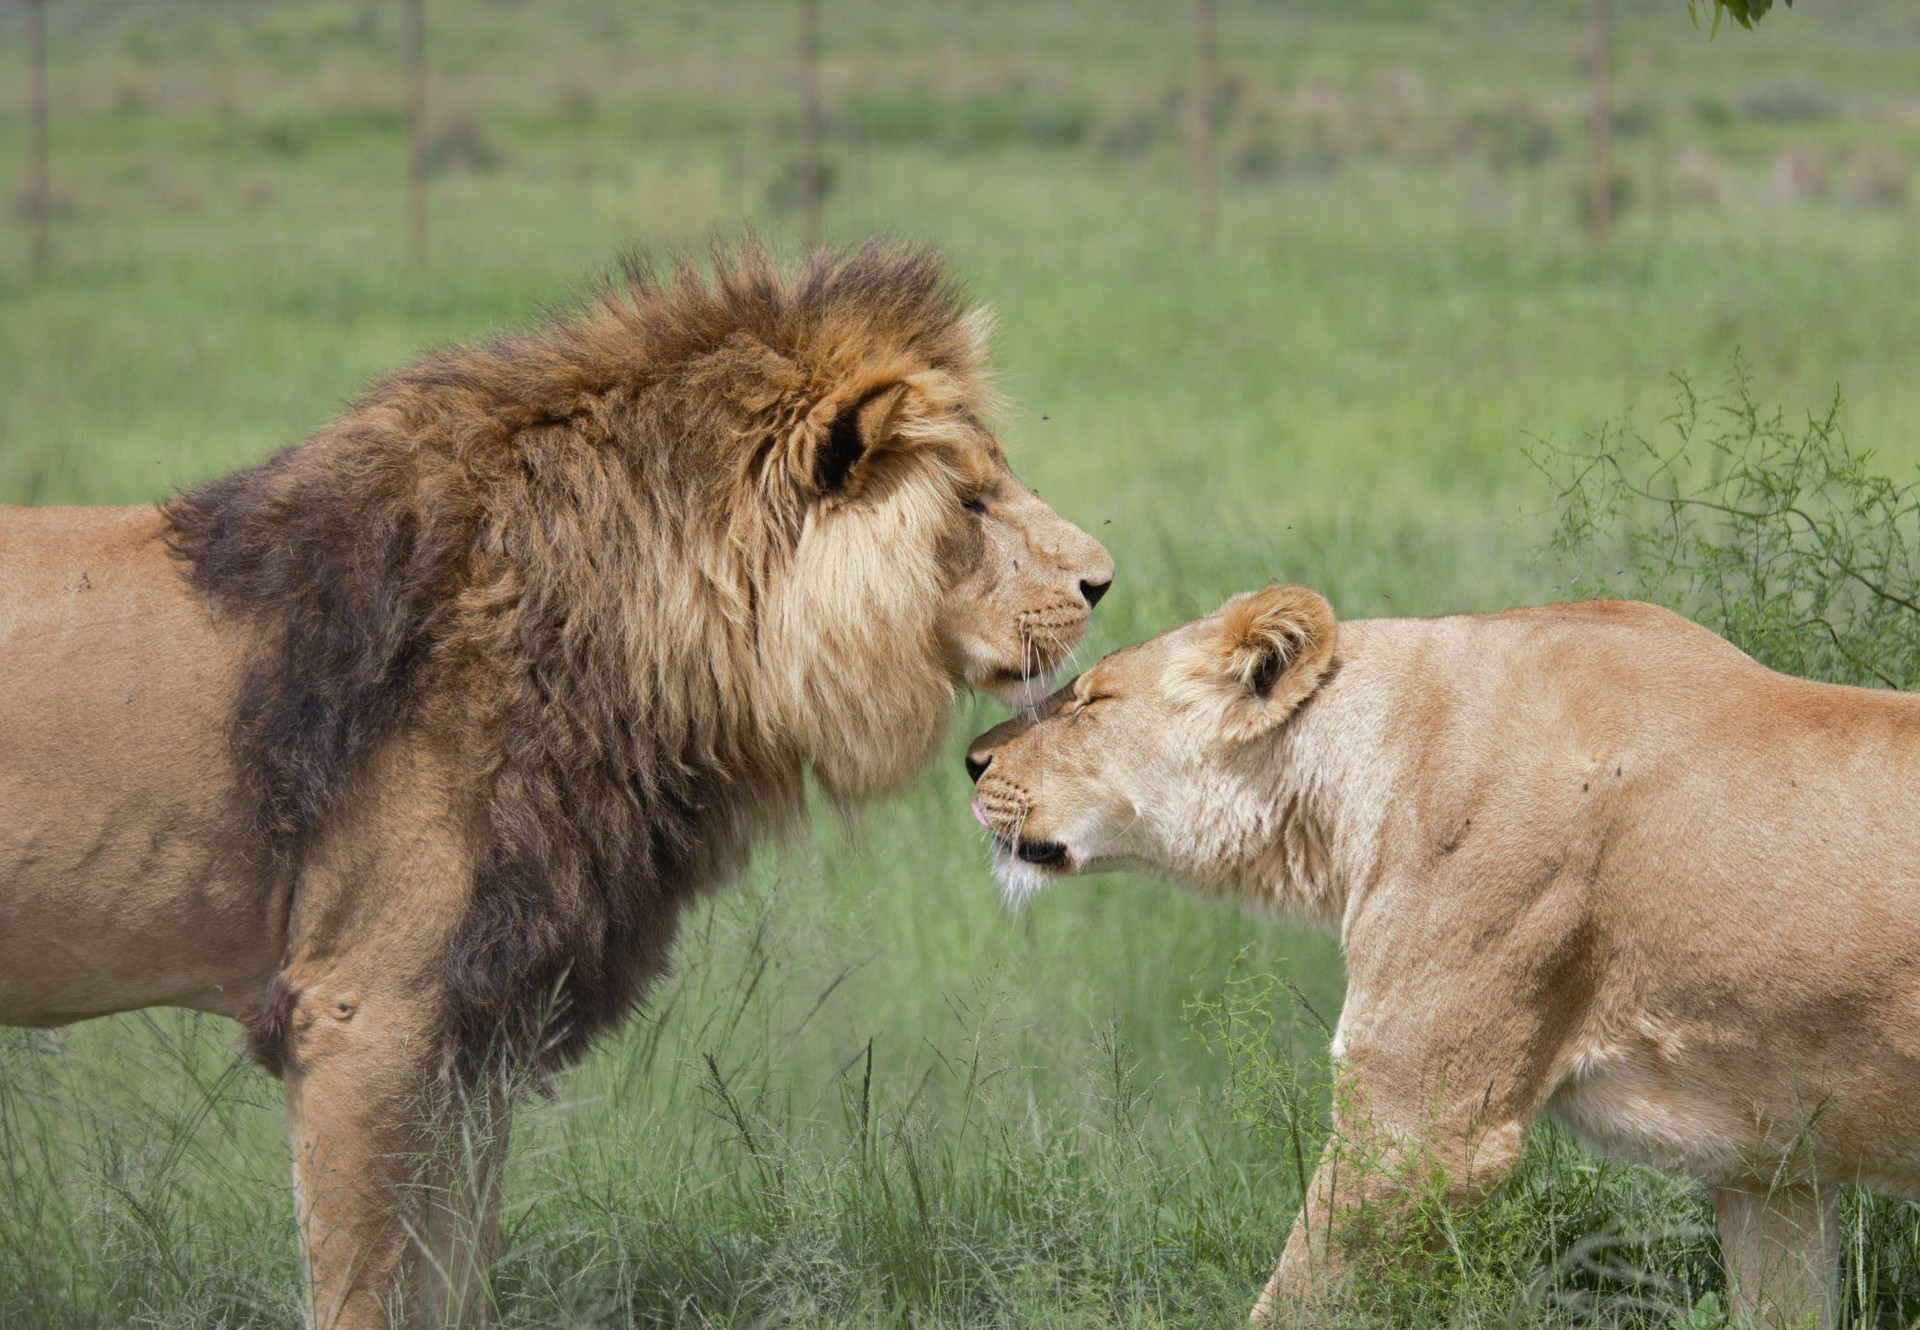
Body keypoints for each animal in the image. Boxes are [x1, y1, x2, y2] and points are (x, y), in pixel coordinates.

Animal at [0, 241, 1112, 1329]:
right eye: (970, 502)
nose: (1104, 580)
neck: (622, 629)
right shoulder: (363, 1012)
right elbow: (368, 1292)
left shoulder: (478, 1017)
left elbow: (452, 1281)